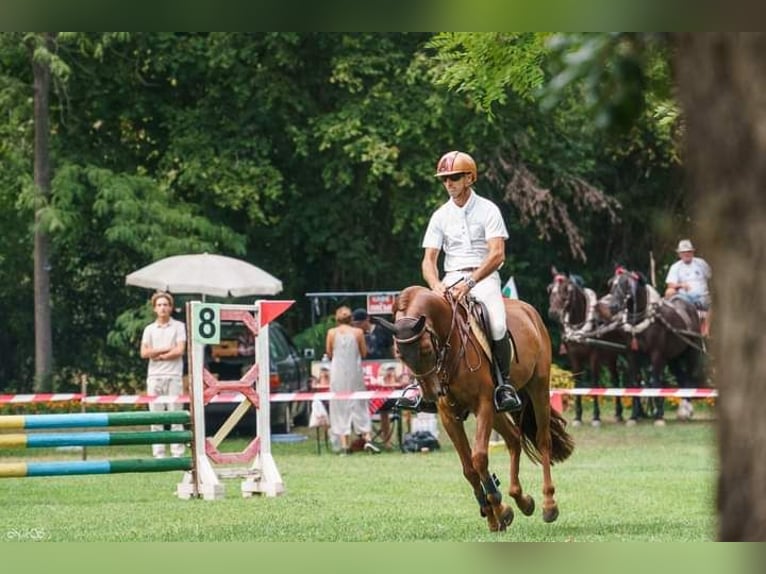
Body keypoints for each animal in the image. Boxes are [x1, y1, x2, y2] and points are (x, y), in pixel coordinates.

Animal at [375, 285, 574, 532]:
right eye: (400, 355)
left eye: (426, 349)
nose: (431, 394)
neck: (451, 347)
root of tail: (530, 311)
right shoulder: (449, 416)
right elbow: (469, 468)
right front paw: (493, 516)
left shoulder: (484, 405)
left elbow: (479, 457)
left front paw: (500, 509)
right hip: (498, 411)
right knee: (513, 438)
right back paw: (522, 500)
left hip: (538, 388)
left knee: (543, 440)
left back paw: (548, 505)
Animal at [547, 270, 626, 426]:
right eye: (550, 289)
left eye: (566, 290)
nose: (553, 313)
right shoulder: (573, 356)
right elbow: (577, 383)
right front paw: (578, 417)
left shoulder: (593, 356)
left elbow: (594, 383)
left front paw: (596, 417)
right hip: (609, 357)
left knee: (618, 380)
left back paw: (621, 414)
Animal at [597, 268, 706, 424]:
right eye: (611, 284)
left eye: (626, 284)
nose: (613, 307)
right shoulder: (632, 354)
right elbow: (635, 382)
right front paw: (634, 417)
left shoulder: (656, 354)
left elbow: (655, 382)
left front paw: (659, 416)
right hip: (673, 358)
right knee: (681, 377)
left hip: (691, 351)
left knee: (690, 377)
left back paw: (686, 410)